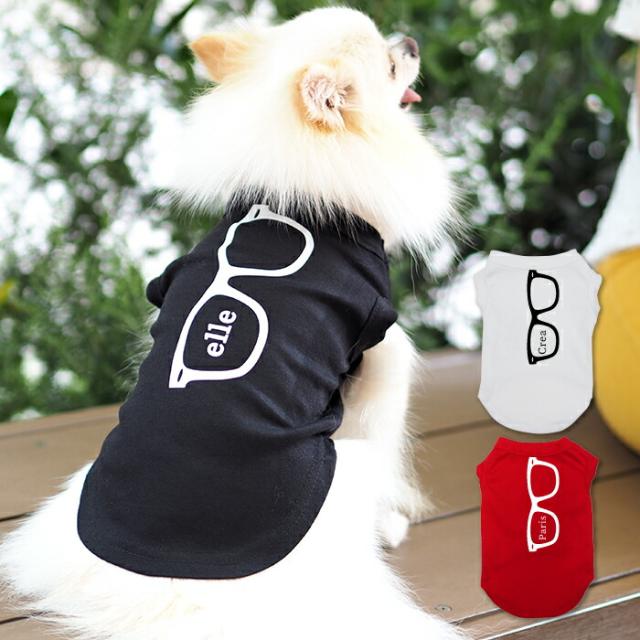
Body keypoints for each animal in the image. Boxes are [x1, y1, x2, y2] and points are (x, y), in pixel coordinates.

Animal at [0, 7, 465, 640]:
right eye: (391, 65)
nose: (412, 42)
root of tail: (179, 594)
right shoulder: (381, 351)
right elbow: (389, 438)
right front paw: (393, 518)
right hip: (346, 469)